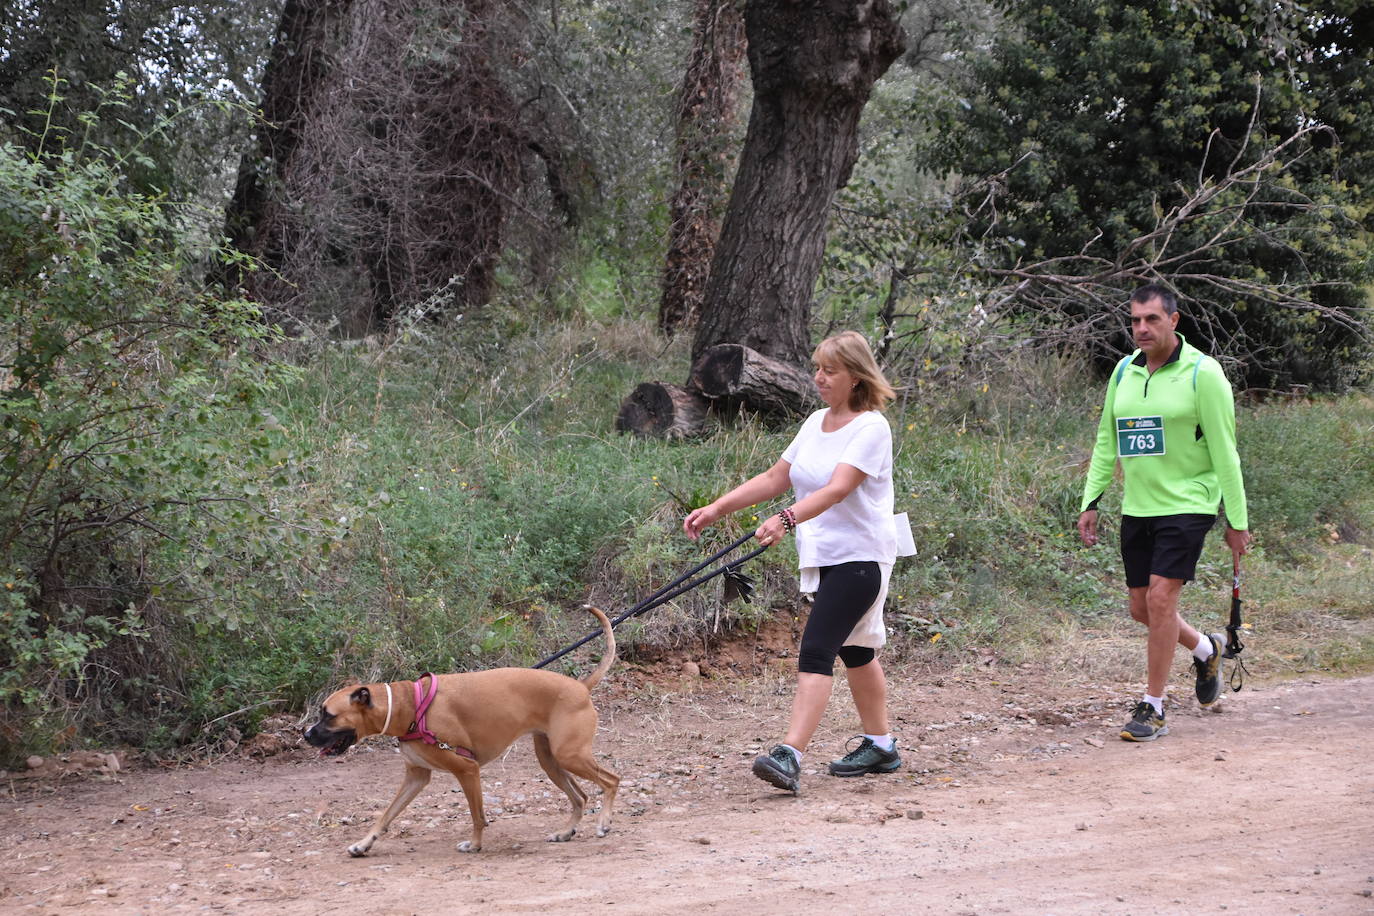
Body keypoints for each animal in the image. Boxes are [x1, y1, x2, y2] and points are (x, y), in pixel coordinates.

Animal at [306, 604, 623, 856]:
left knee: (612, 780)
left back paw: (604, 822)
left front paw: (475, 844)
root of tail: (580, 686)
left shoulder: (467, 770)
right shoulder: (416, 778)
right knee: (580, 797)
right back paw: (566, 832)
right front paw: (363, 844)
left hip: (570, 755)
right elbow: (385, 816)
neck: (411, 706)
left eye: (328, 715)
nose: (306, 734)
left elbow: (477, 816)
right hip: (551, 760)